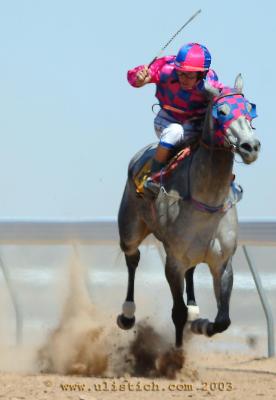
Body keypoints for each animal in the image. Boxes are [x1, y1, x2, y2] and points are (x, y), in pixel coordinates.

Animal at [116, 74, 260, 346]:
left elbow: (223, 320)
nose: (251, 146)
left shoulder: (223, 261)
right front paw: (176, 352)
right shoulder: (173, 261)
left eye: (250, 110)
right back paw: (127, 314)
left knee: (191, 272)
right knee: (132, 258)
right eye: (221, 112)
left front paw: (201, 324)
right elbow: (177, 312)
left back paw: (195, 310)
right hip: (129, 229)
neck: (208, 201)